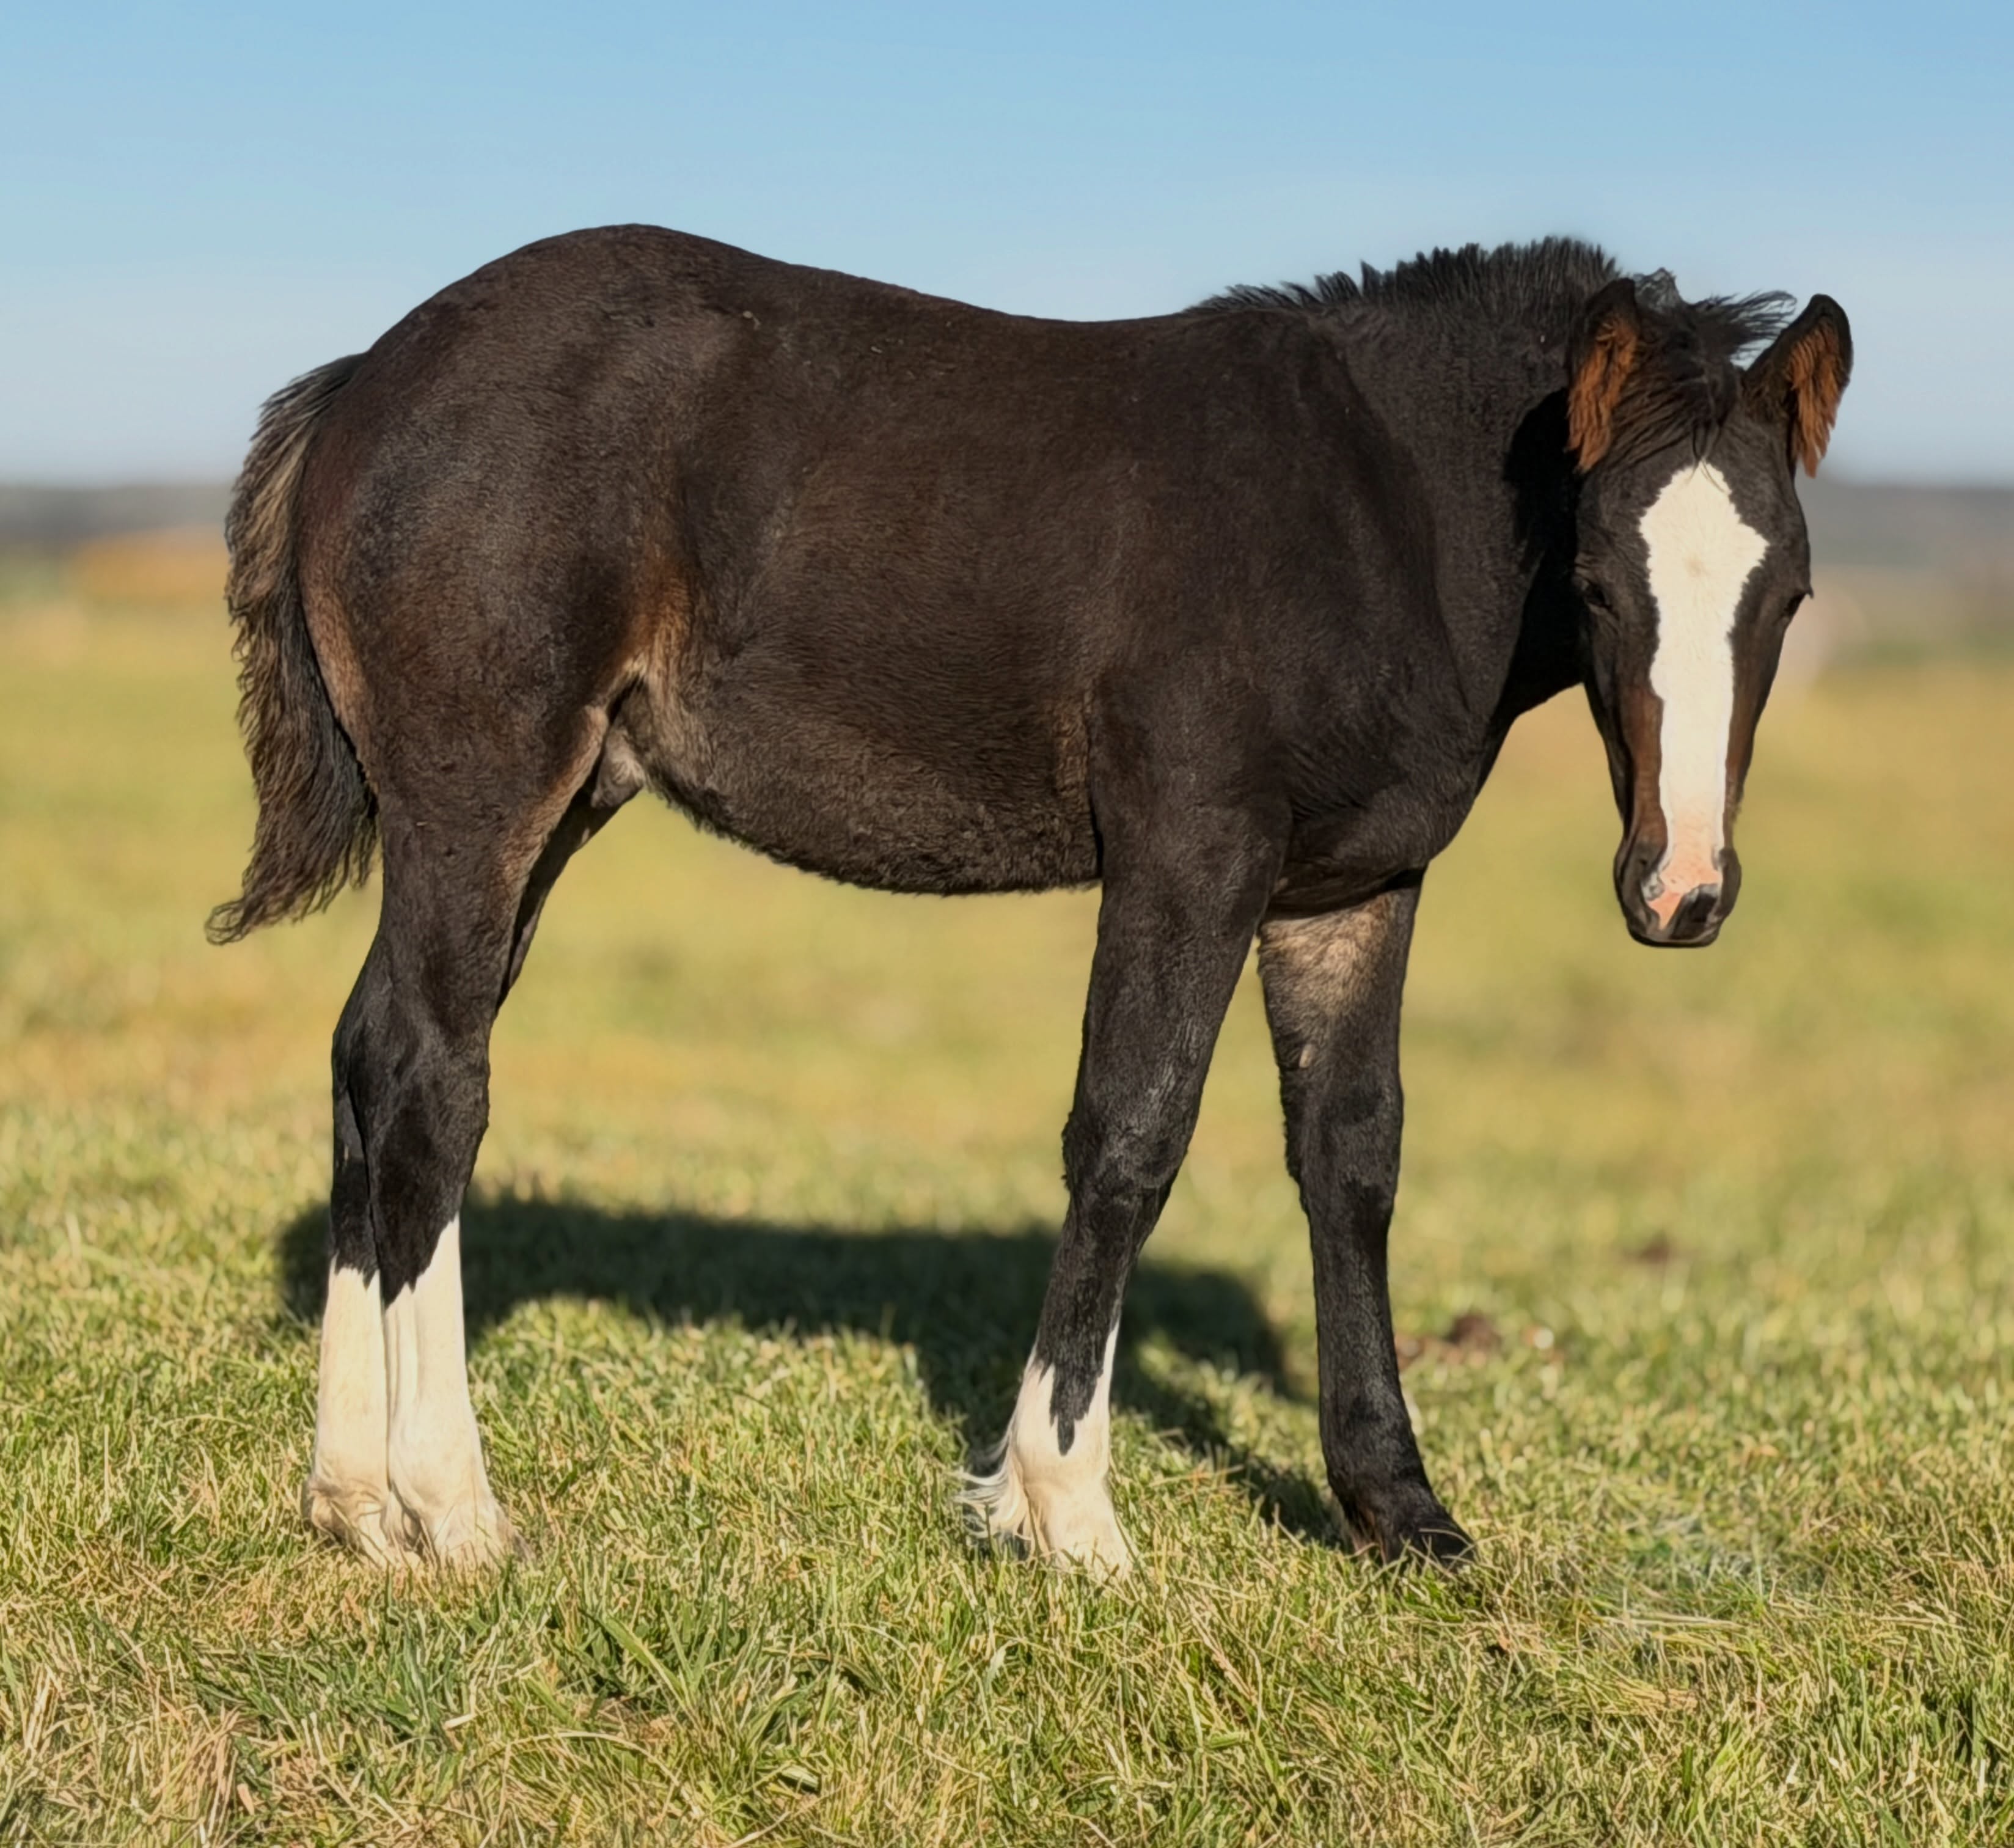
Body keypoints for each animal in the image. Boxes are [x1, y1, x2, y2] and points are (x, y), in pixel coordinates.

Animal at [210, 227, 1850, 1571]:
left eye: (1786, 597)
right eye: (1596, 582)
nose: (1679, 890)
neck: (1375, 513)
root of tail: (366, 381)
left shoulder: (1351, 886)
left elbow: (1351, 1160)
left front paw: (1399, 1512)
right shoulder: (1189, 850)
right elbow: (1130, 1133)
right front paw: (1061, 1510)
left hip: (549, 806)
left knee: (369, 1058)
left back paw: (351, 1499)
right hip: (485, 791)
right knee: (433, 1082)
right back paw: (451, 1506)